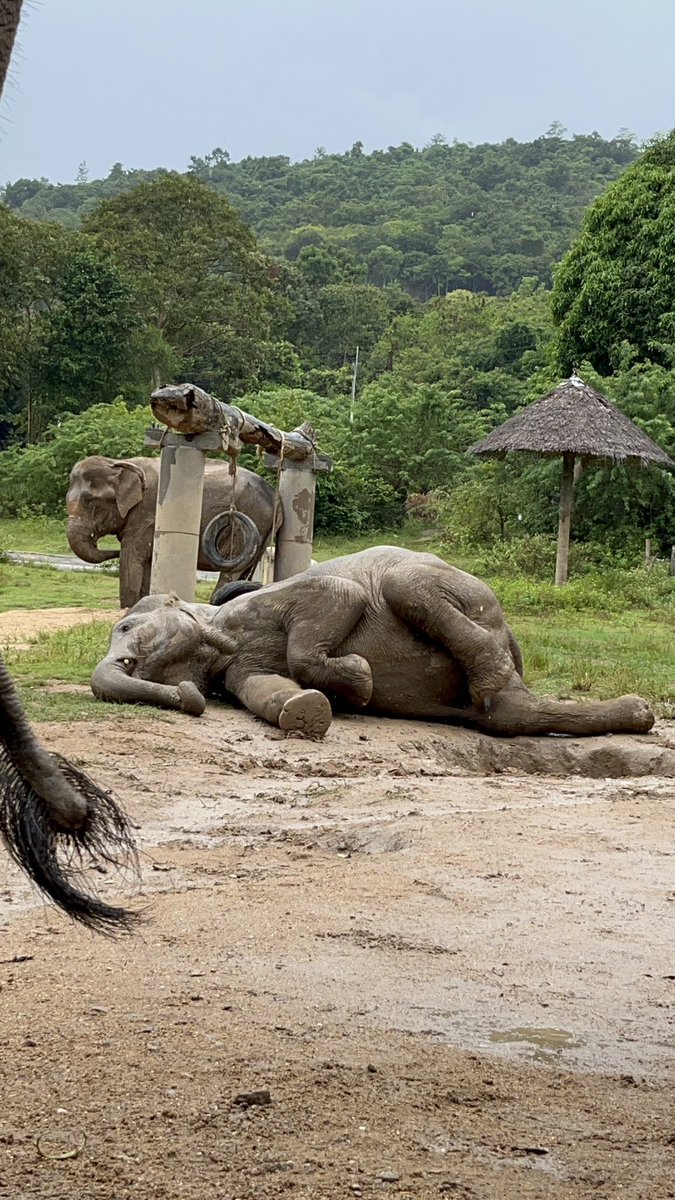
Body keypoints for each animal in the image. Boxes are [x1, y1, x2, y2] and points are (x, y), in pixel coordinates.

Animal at [66, 456, 279, 610]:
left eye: (90, 501)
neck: (118, 465)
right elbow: (146, 561)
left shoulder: (147, 513)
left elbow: (131, 555)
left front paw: (128, 607)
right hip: (264, 527)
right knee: (245, 570)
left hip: (252, 517)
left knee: (231, 570)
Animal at [91, 547, 655, 739]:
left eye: (125, 628)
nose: (190, 699)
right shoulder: (238, 670)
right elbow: (273, 692)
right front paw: (312, 710)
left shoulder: (266, 604)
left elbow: (339, 596)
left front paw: (360, 683)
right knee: (511, 717)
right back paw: (638, 714)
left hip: (465, 595)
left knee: (405, 586)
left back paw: (493, 679)